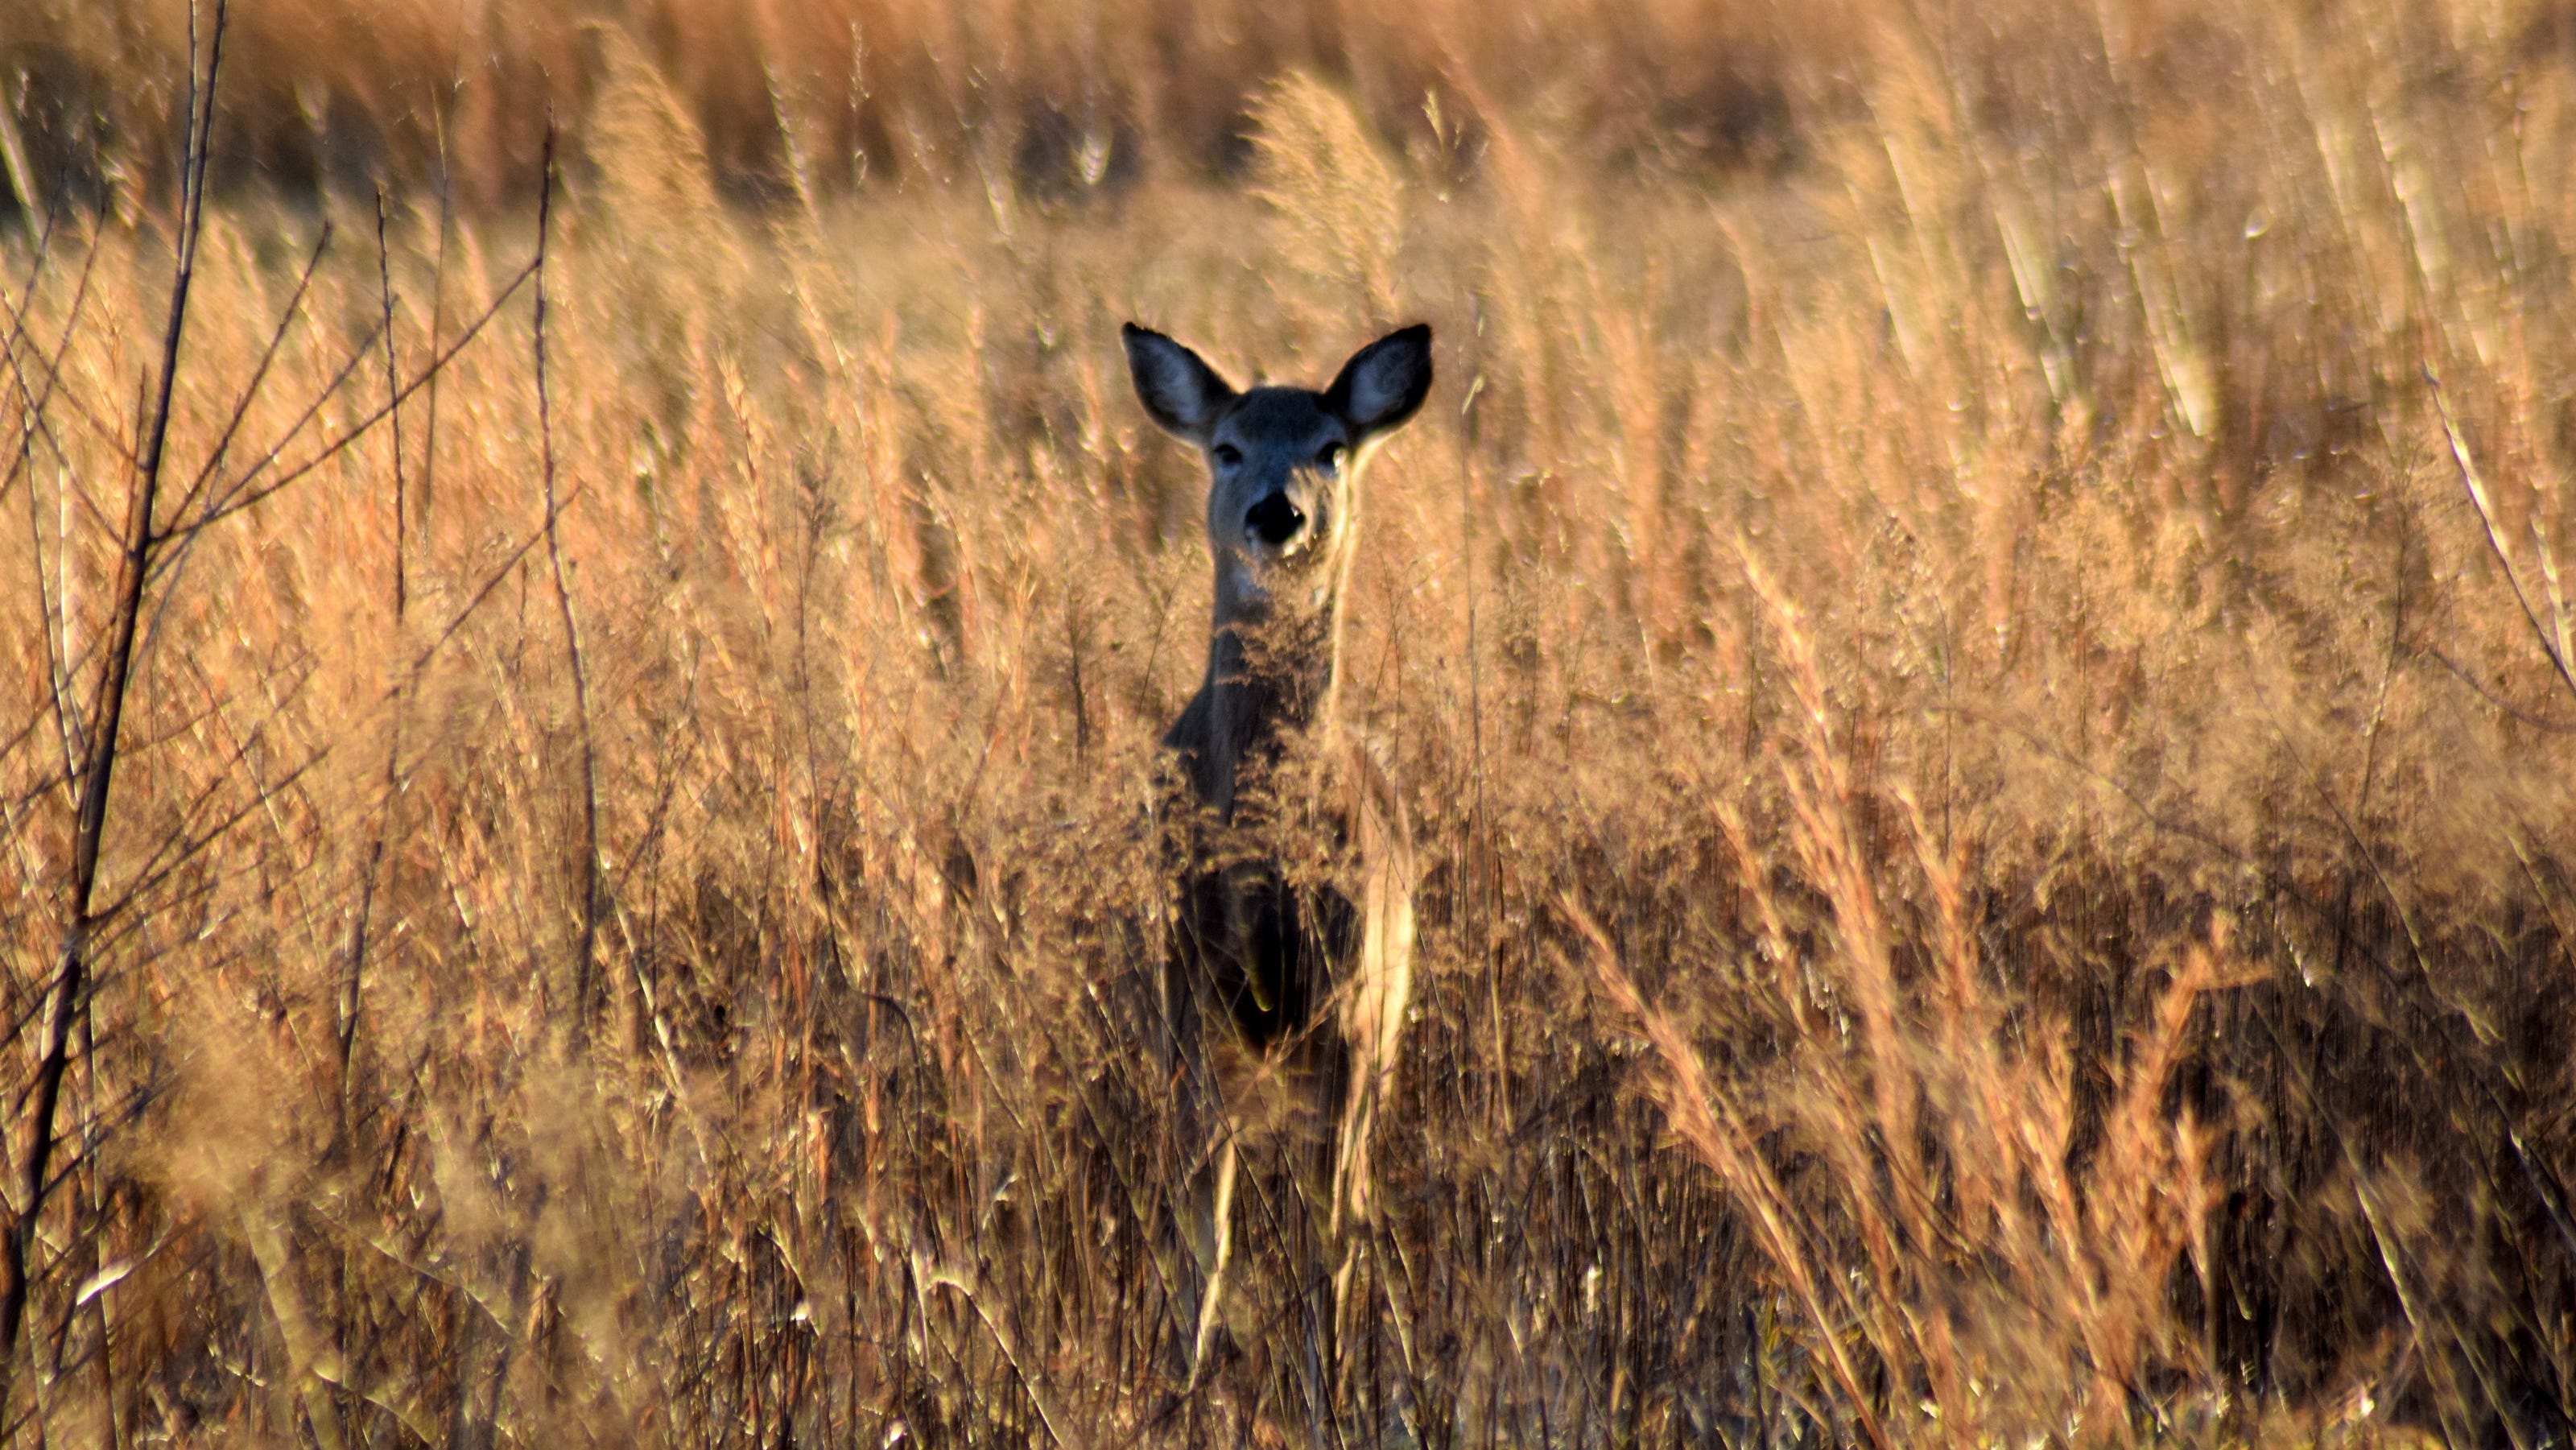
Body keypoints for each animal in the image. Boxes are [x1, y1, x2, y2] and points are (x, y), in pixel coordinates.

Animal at [1128, 323, 1443, 1380]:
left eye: (1330, 448)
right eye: (1226, 447)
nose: (1278, 509)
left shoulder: (1349, 1010)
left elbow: (1328, 1232)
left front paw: (1329, 1380)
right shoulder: (1186, 1002)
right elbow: (1203, 1225)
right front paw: (1181, 1379)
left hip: (1383, 1024)